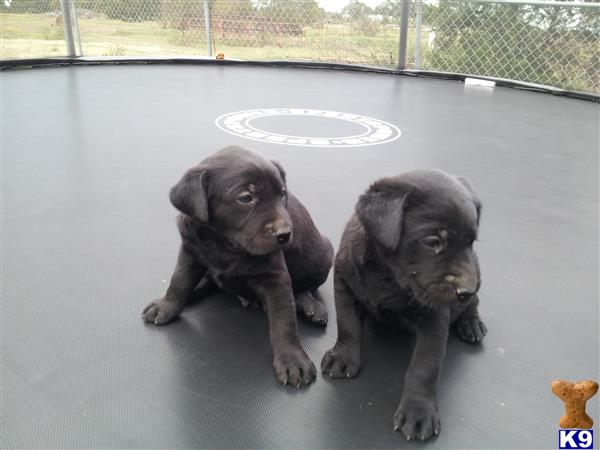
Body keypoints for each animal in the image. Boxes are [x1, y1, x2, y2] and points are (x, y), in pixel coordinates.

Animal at [144, 147, 336, 386]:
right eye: (245, 197)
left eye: (282, 194)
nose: (284, 234)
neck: (227, 243)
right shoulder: (190, 250)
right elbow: (179, 281)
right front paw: (166, 306)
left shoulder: (276, 276)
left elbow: (284, 321)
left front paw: (292, 359)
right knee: (210, 282)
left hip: (322, 253)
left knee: (306, 287)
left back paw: (310, 305)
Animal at [322, 169, 486, 440]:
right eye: (433, 242)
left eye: (470, 242)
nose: (467, 289)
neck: (387, 277)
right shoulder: (344, 285)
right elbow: (348, 326)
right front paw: (343, 356)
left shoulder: (435, 319)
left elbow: (424, 366)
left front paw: (418, 411)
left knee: (474, 304)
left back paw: (471, 324)